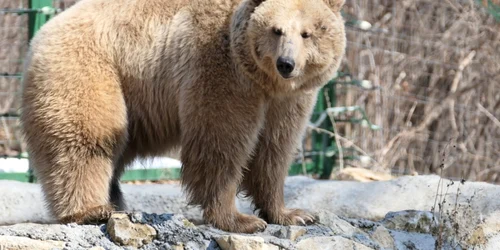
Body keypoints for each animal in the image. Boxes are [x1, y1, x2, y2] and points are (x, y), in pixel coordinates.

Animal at [20, 0, 348, 233]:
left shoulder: (288, 100)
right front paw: (239, 219)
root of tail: (44, 30)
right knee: (87, 140)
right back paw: (91, 210)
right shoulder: (221, 69)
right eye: (276, 30)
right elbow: (221, 141)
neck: (263, 81)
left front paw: (293, 214)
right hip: (89, 68)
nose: (286, 63)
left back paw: (113, 202)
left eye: (308, 33)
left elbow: (275, 150)